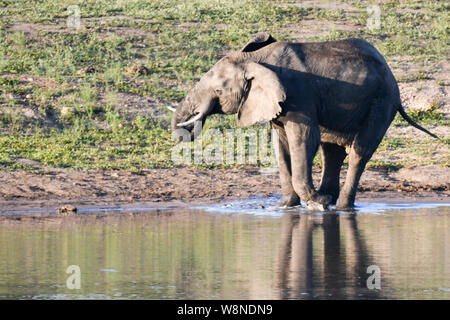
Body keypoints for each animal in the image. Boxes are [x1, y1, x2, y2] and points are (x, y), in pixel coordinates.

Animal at [171, 31, 438, 209]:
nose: (187, 129)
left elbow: (305, 140)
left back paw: (339, 206)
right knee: (332, 152)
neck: (254, 58)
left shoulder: (299, 96)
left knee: (359, 152)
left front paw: (315, 203)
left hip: (382, 103)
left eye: (218, 91)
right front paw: (286, 206)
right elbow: (282, 145)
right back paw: (330, 200)